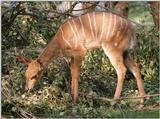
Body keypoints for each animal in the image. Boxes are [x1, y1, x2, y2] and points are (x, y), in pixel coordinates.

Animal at [17, 11, 146, 105]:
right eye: (26, 75)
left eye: (34, 75)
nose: (27, 89)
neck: (61, 40)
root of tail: (132, 28)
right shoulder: (72, 56)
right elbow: (72, 72)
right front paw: (72, 96)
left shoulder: (81, 52)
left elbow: (75, 74)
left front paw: (75, 100)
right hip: (125, 52)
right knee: (135, 68)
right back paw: (141, 102)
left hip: (113, 50)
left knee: (121, 70)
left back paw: (113, 102)